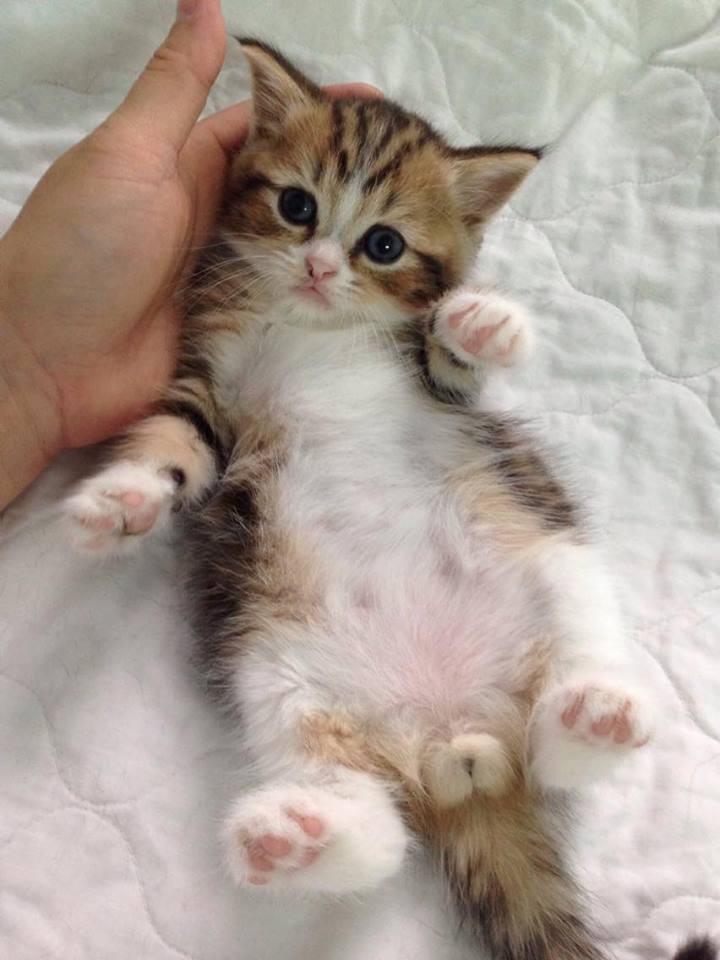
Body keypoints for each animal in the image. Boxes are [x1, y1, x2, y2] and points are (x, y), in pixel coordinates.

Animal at [62, 39, 667, 960]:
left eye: (383, 243)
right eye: (296, 205)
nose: (318, 266)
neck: (310, 325)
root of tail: (456, 749)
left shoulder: (431, 386)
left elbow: (454, 369)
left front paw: (480, 324)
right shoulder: (209, 384)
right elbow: (174, 444)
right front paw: (122, 502)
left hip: (552, 562)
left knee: (560, 721)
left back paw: (591, 712)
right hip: (270, 667)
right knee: (380, 833)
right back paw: (298, 834)